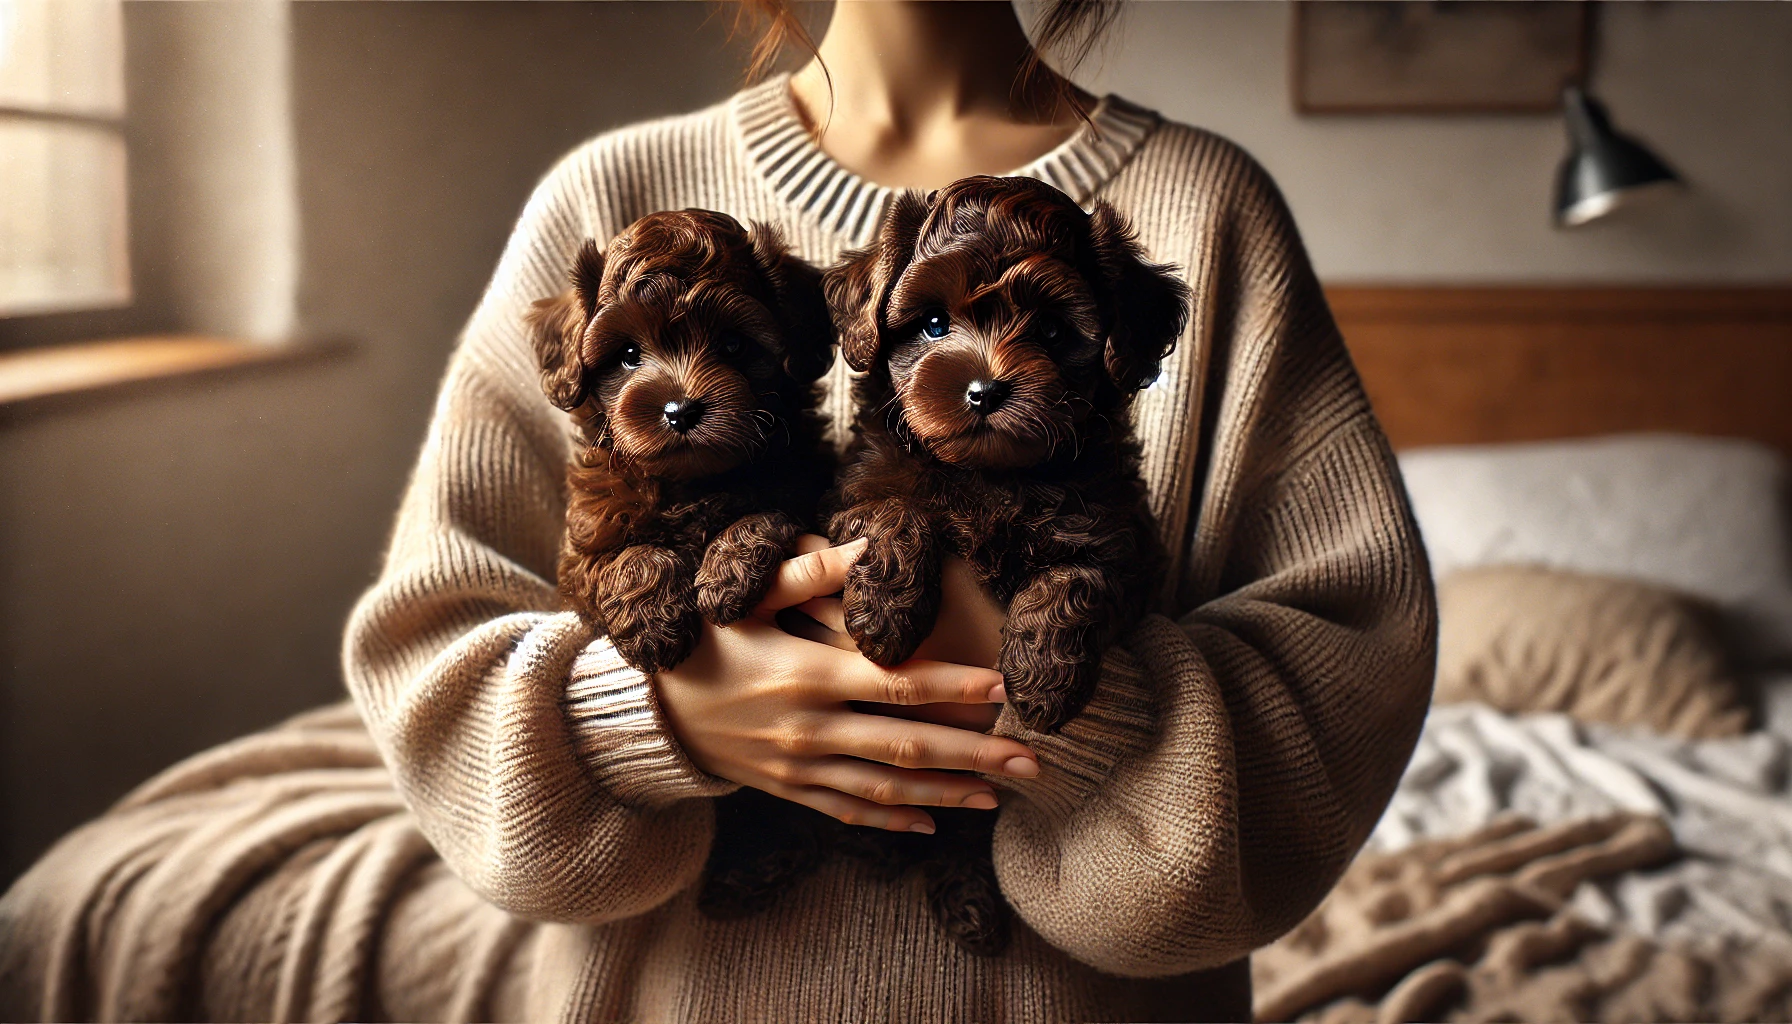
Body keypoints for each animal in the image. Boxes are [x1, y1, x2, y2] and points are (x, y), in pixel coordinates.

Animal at [526, 208, 835, 677]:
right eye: (628, 354)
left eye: (733, 344)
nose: (680, 411)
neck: (690, 482)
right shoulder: (583, 546)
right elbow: (625, 558)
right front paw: (653, 623)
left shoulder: (805, 486)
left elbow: (768, 511)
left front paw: (728, 573)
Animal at [820, 173, 1189, 954]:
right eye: (932, 324)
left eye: (1051, 332)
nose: (983, 391)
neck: (993, 475)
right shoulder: (856, 492)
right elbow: (895, 512)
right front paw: (885, 617)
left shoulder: (1119, 537)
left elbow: (1077, 580)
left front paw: (1043, 680)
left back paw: (968, 902)